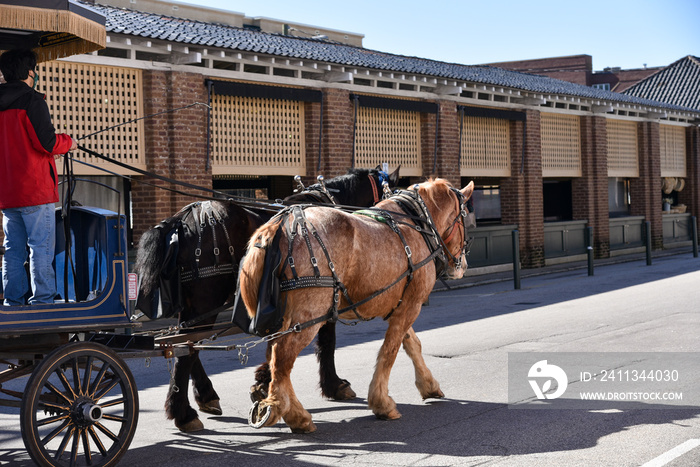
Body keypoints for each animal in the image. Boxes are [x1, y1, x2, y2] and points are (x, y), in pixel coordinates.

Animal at [135, 166, 400, 434]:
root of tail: (181, 219)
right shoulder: (324, 295)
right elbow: (326, 341)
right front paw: (334, 385)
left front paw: (263, 382)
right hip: (206, 301)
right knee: (186, 350)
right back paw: (184, 413)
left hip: (194, 306)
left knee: (186, 345)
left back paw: (205, 396)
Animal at [238, 178, 474, 432]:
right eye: (464, 218)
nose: (462, 265)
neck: (417, 225)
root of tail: (278, 226)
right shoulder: (411, 305)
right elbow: (390, 351)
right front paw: (382, 403)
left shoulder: (400, 305)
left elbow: (412, 344)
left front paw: (428, 385)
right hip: (307, 317)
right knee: (282, 360)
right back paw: (289, 412)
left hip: (285, 319)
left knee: (274, 357)